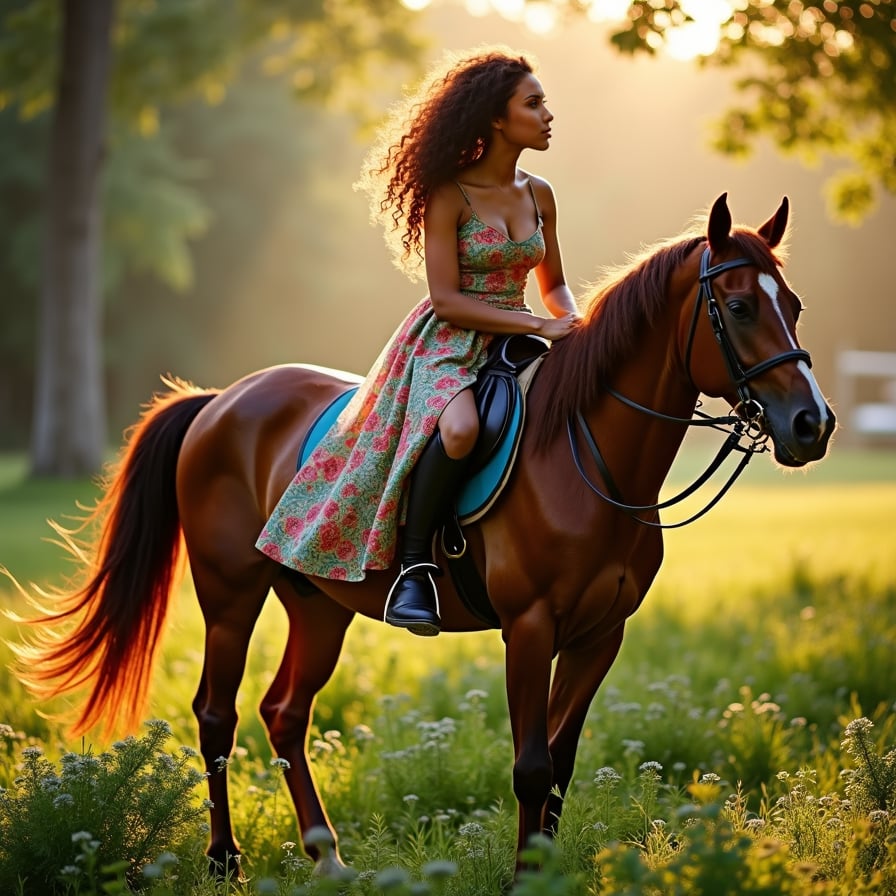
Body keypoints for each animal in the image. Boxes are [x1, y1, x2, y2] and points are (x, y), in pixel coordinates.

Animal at [17, 193, 835, 878]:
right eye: (738, 307)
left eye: (794, 304)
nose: (812, 424)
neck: (586, 454)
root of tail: (222, 400)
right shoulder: (529, 628)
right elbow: (532, 766)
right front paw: (523, 880)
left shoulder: (601, 634)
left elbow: (562, 763)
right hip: (229, 596)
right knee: (218, 718)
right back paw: (226, 862)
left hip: (317, 604)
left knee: (285, 713)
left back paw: (327, 857)